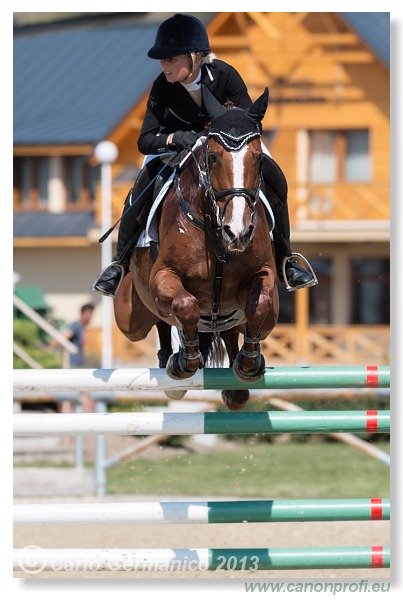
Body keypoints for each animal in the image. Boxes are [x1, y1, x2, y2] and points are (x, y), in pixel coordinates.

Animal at [113, 85, 278, 412]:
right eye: (212, 157)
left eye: (258, 161)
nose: (237, 232)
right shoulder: (164, 276)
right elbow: (185, 305)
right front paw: (184, 361)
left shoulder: (264, 274)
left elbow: (260, 303)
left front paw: (249, 363)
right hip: (128, 317)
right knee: (160, 322)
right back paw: (170, 360)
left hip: (262, 319)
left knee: (231, 330)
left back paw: (236, 382)